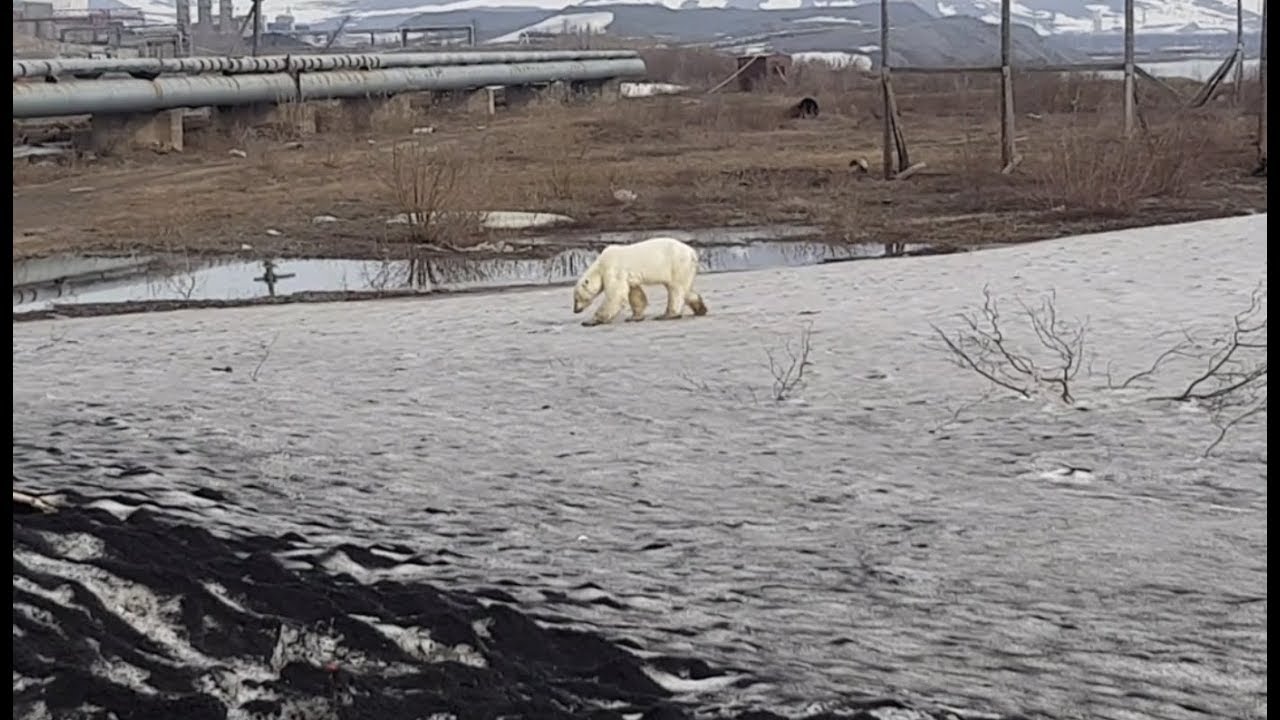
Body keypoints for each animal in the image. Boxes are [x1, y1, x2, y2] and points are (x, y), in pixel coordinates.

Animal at [572, 236, 709, 327]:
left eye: (576, 298)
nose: (575, 310)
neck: (599, 265)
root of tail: (692, 252)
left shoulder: (613, 269)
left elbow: (615, 294)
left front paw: (590, 321)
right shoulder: (628, 276)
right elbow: (634, 293)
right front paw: (634, 317)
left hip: (677, 264)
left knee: (676, 289)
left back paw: (667, 315)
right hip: (685, 268)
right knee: (685, 289)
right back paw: (700, 309)